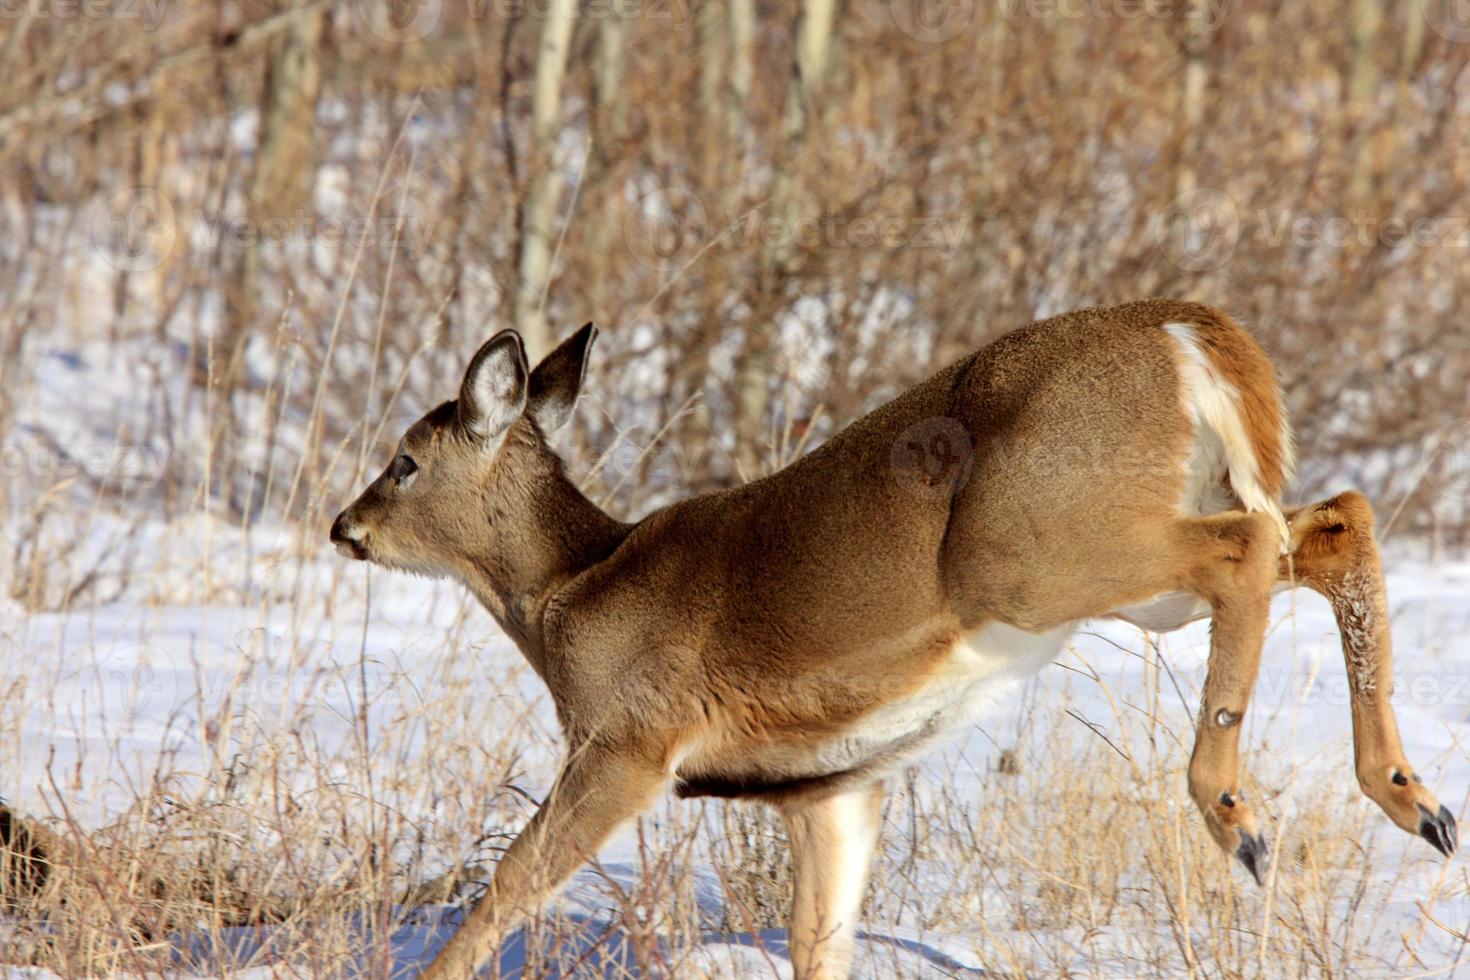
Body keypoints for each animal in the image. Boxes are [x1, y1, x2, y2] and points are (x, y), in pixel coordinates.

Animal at [330, 301, 1446, 980]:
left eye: (406, 459)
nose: (345, 526)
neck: (574, 590)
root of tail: (1190, 333)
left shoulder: (629, 741)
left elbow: (506, 889)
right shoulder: (830, 788)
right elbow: (819, 943)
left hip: (1035, 551)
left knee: (1255, 543)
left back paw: (1236, 810)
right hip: (1122, 560)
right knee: (1335, 521)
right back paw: (1417, 802)